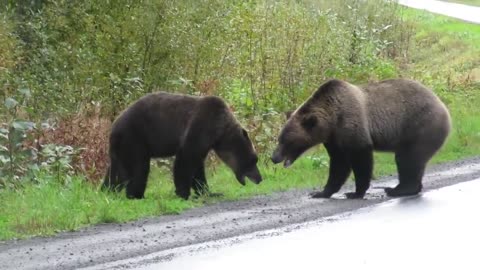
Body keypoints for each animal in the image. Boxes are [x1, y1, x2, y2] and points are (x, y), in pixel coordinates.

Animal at [101, 92, 264, 199]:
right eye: (253, 160)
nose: (260, 178)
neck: (220, 132)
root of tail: (113, 128)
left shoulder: (205, 142)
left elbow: (198, 167)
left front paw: (208, 191)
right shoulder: (201, 126)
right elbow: (186, 159)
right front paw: (183, 193)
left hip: (121, 148)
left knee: (116, 172)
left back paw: (107, 191)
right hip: (135, 139)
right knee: (139, 168)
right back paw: (136, 195)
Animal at [272, 78, 452, 198]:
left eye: (286, 141)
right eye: (279, 139)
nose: (273, 157)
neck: (332, 119)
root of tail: (443, 108)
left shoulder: (352, 124)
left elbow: (360, 159)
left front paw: (355, 192)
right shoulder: (334, 139)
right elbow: (338, 164)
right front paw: (321, 192)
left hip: (419, 127)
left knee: (407, 159)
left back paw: (397, 189)